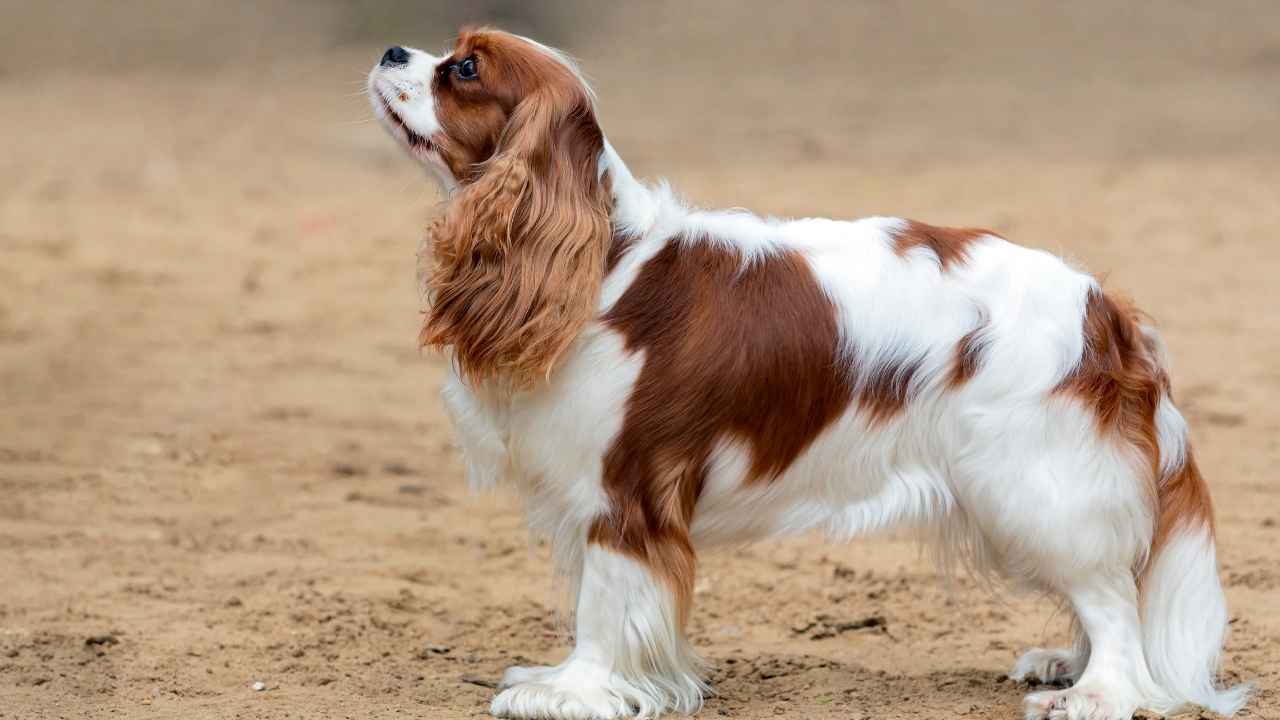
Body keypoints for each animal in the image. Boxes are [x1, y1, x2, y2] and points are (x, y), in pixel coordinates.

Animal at [368, 26, 1249, 717]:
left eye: (465, 69)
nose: (391, 49)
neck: (601, 258)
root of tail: (1108, 310)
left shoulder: (624, 491)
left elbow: (602, 603)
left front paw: (573, 691)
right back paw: (1068, 664)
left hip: (1033, 481)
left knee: (1115, 598)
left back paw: (1099, 691)